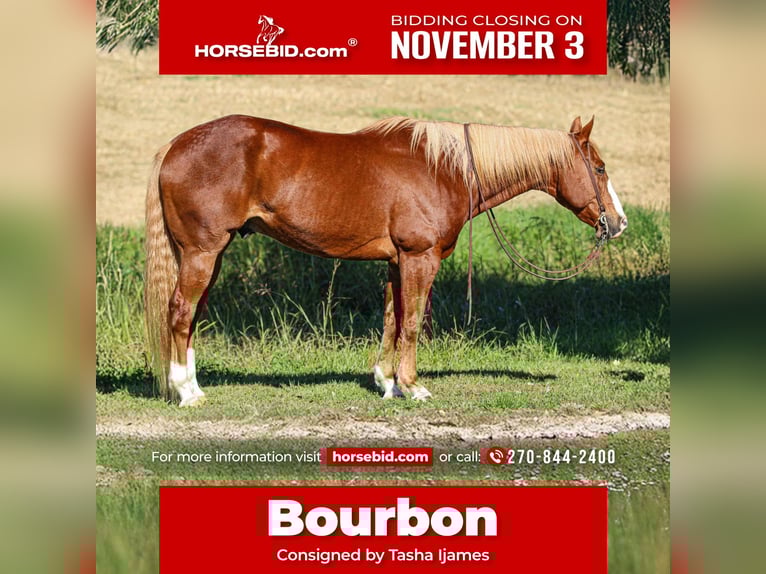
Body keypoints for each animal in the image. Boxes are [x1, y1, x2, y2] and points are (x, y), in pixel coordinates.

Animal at [144, 115, 628, 406]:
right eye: (600, 167)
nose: (619, 222)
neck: (443, 168)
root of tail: (175, 144)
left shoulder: (398, 261)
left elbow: (392, 319)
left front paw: (387, 382)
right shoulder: (420, 258)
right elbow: (411, 322)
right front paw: (413, 387)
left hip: (211, 255)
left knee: (192, 316)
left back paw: (192, 385)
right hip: (203, 253)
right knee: (181, 312)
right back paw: (186, 392)